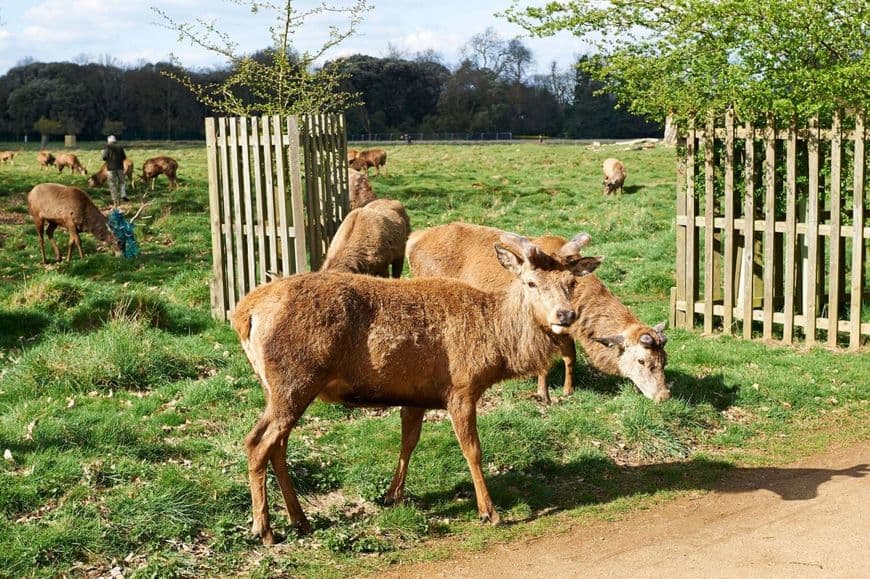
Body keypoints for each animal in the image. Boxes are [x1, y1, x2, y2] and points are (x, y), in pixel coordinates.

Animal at [228, 233, 604, 548]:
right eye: (530, 281)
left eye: (571, 282)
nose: (565, 315)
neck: (496, 345)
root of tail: (244, 314)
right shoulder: (460, 387)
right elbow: (473, 450)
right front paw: (490, 511)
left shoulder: (416, 394)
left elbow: (408, 442)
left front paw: (391, 495)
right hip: (294, 379)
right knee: (257, 443)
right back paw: (265, 530)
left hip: (278, 387)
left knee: (276, 445)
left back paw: (300, 520)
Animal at [406, 224, 672, 406]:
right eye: (641, 360)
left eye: (664, 360)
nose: (664, 395)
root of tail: (413, 238)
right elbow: (544, 362)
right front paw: (543, 395)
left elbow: (570, 356)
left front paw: (567, 390)